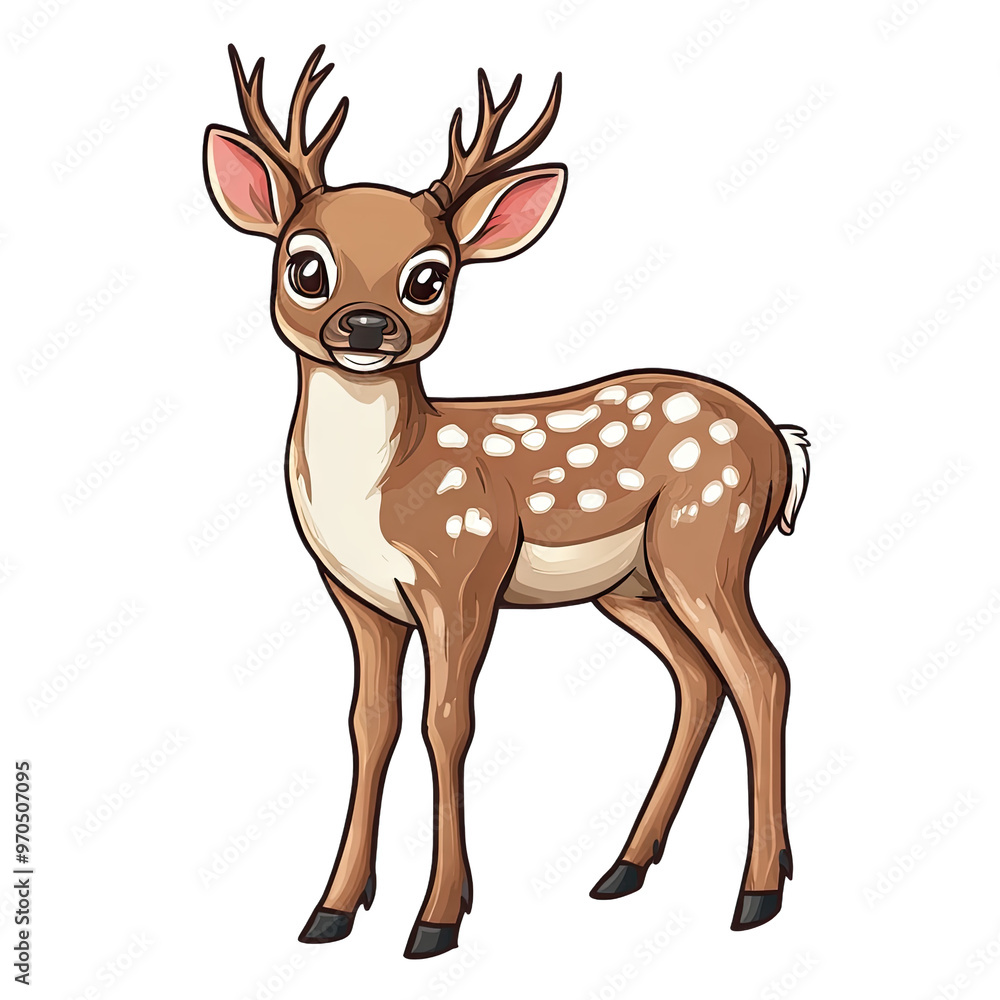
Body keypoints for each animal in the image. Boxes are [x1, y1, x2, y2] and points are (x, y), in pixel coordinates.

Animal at [203, 45, 811, 959]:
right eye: (305, 263)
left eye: (429, 277)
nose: (367, 325)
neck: (382, 487)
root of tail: (781, 442)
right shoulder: (358, 597)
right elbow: (369, 725)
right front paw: (333, 908)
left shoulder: (465, 572)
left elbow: (446, 723)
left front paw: (437, 918)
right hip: (634, 586)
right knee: (700, 680)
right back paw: (623, 869)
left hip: (707, 538)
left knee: (763, 673)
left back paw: (759, 891)